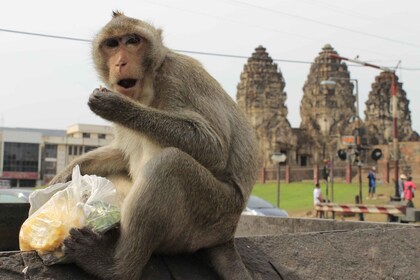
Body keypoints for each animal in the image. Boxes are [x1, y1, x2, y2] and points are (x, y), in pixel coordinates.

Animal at [48, 11, 260, 280]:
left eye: (132, 41)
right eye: (112, 44)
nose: (120, 63)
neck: (148, 85)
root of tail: (227, 235)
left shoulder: (176, 77)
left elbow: (214, 149)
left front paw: (118, 107)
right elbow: (121, 153)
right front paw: (66, 174)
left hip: (212, 214)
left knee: (170, 164)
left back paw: (114, 267)